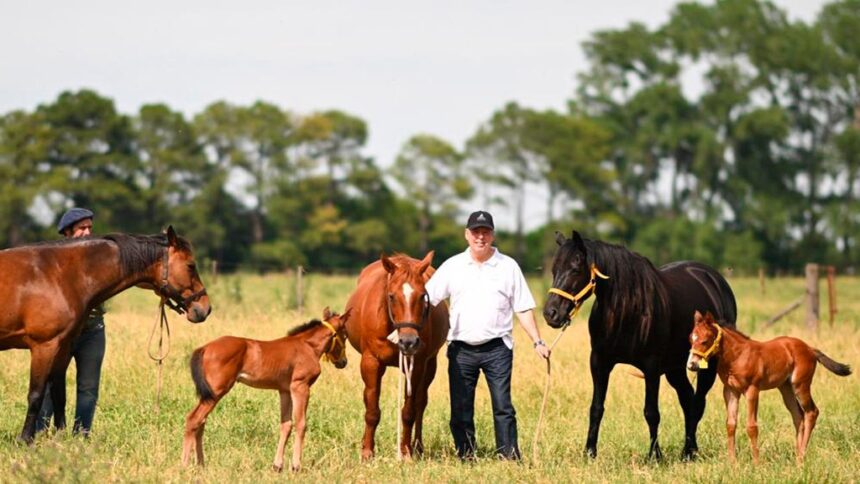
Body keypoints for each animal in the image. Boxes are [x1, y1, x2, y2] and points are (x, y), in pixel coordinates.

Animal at [0, 226, 210, 443]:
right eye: (191, 265)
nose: (205, 308)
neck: (58, 275)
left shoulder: (63, 347)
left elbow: (59, 393)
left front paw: (60, 438)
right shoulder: (44, 346)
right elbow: (36, 394)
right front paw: (25, 439)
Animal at [182, 307, 351, 472]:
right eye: (344, 335)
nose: (343, 362)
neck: (307, 346)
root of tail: (204, 348)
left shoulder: (285, 391)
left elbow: (286, 425)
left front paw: (277, 466)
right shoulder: (300, 387)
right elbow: (301, 423)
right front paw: (296, 466)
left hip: (209, 394)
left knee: (201, 421)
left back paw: (200, 464)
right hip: (217, 392)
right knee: (194, 419)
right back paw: (184, 465)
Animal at [345, 252, 449, 460]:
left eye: (423, 296)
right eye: (391, 296)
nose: (408, 341)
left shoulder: (417, 365)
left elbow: (409, 411)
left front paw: (406, 452)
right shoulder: (371, 363)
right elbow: (372, 409)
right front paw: (367, 452)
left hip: (430, 366)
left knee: (421, 403)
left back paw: (418, 447)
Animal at [542, 230, 737, 460]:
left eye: (575, 269)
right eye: (554, 270)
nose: (551, 313)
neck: (627, 308)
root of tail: (715, 280)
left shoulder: (651, 367)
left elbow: (651, 412)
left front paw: (655, 455)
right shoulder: (599, 362)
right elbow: (596, 408)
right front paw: (590, 452)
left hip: (708, 366)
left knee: (697, 403)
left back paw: (688, 452)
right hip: (675, 368)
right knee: (688, 400)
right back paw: (690, 450)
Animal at [687, 310, 851, 464]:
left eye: (704, 341)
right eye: (690, 339)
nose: (691, 365)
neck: (737, 356)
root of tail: (810, 348)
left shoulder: (752, 390)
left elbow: (752, 427)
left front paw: (756, 464)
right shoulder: (730, 391)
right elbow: (731, 424)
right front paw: (732, 463)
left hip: (800, 385)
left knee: (812, 412)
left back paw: (801, 457)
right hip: (786, 388)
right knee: (798, 416)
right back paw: (797, 456)